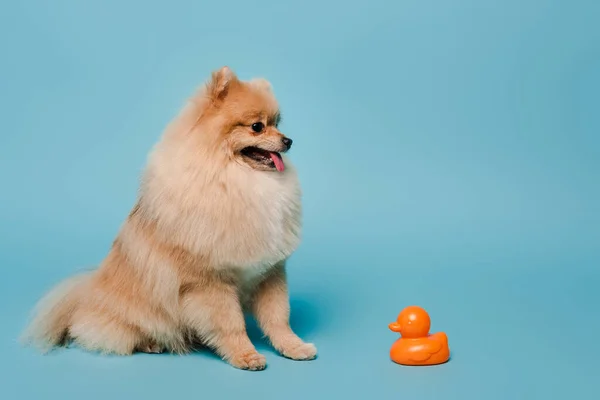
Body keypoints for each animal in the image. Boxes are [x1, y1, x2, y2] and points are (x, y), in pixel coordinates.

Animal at [21, 65, 316, 368]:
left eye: (278, 123)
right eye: (257, 126)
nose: (288, 140)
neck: (235, 178)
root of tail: (86, 294)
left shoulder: (271, 272)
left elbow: (279, 318)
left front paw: (294, 347)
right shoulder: (211, 281)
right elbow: (231, 324)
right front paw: (246, 355)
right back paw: (151, 344)